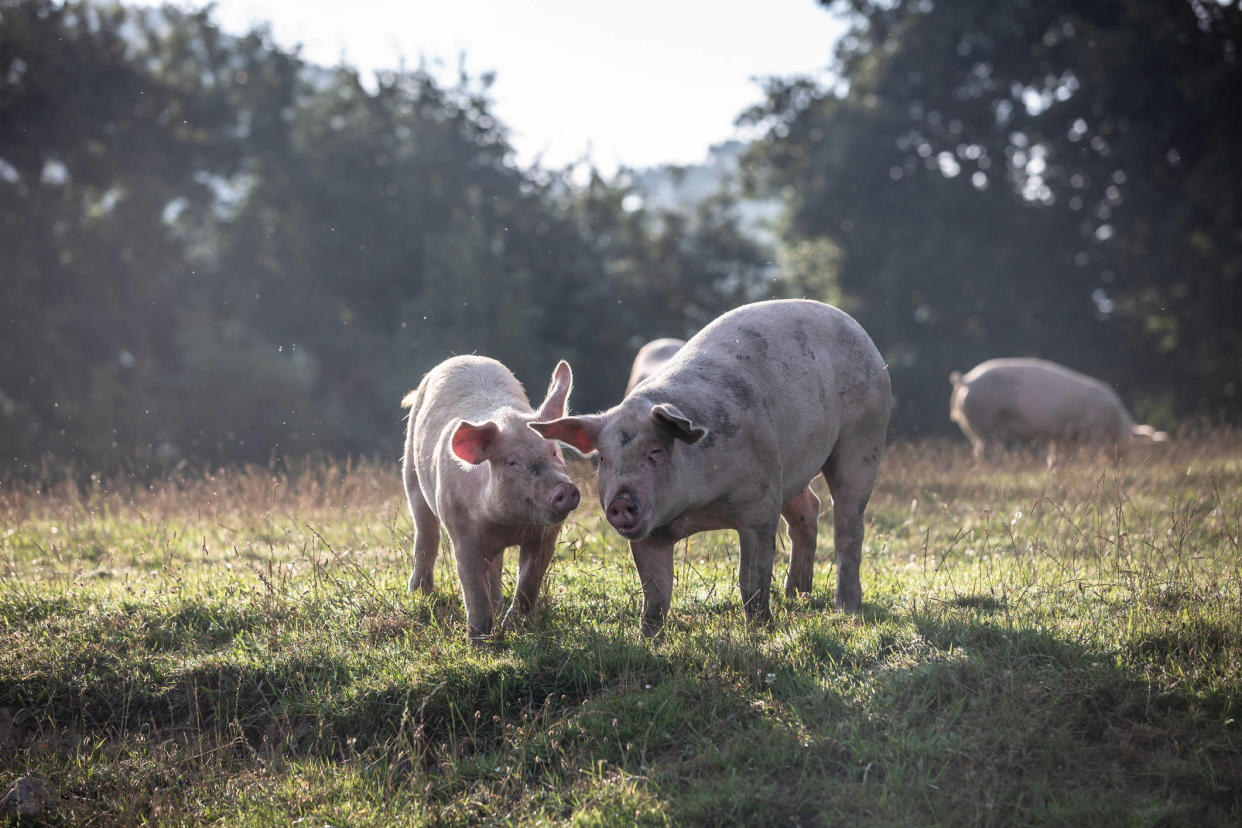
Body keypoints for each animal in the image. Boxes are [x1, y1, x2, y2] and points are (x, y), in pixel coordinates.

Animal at [404, 357, 583, 640]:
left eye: (554, 452)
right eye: (512, 462)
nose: (564, 488)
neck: (507, 524)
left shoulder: (545, 535)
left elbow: (528, 582)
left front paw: (513, 627)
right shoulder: (461, 532)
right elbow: (473, 588)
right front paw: (480, 639)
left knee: (494, 566)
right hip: (411, 472)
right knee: (425, 534)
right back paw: (419, 595)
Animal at [529, 301, 889, 640]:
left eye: (655, 452)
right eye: (604, 458)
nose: (620, 501)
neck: (695, 512)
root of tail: (853, 325)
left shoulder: (759, 504)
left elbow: (752, 579)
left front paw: (760, 631)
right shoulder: (651, 534)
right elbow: (655, 593)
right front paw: (647, 640)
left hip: (863, 438)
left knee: (848, 524)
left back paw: (846, 608)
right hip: (790, 471)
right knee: (809, 510)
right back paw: (796, 596)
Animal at [943, 357, 1167, 464]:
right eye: (1133, 443)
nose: (1119, 463)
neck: (1116, 421)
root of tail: (967, 379)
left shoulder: (1060, 435)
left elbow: (1056, 455)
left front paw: (1054, 467)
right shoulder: (1094, 428)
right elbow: (1091, 451)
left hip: (972, 425)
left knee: (977, 448)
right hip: (985, 420)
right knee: (985, 450)